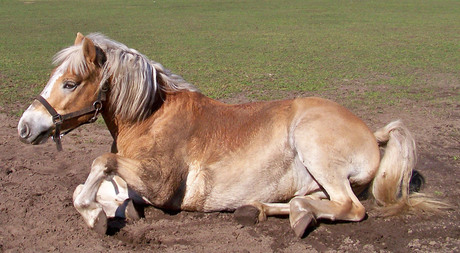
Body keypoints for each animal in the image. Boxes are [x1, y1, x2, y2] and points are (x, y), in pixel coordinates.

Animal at [17, 32, 442, 237]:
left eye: (70, 83)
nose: (25, 126)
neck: (151, 117)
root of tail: (374, 134)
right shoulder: (136, 179)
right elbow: (97, 185)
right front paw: (114, 209)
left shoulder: (160, 185)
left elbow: (99, 164)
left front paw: (95, 217)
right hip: (314, 178)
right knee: (314, 200)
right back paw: (264, 209)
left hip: (314, 146)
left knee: (350, 207)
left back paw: (295, 216)